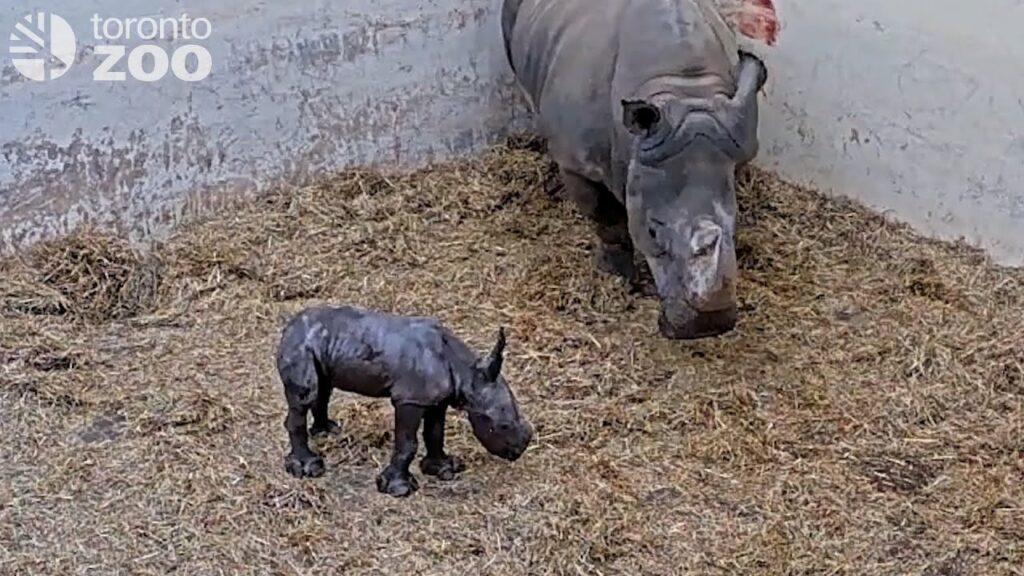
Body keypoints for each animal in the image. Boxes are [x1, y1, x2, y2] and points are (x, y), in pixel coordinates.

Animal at [275, 304, 533, 497]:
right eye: (502, 426)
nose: (519, 451)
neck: (466, 373)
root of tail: (289, 324)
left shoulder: (436, 400)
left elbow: (435, 433)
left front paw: (445, 469)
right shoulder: (409, 399)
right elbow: (408, 443)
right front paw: (399, 489)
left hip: (322, 344)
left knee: (323, 387)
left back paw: (327, 432)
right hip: (300, 346)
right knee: (304, 396)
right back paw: (308, 468)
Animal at [501, 0, 771, 339]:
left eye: (735, 228)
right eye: (653, 230)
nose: (709, 325)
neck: (682, 91)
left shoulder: (735, 137)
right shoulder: (580, 164)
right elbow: (608, 220)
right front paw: (615, 278)